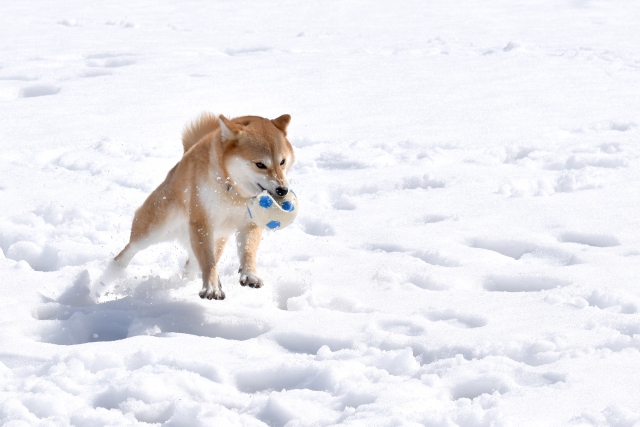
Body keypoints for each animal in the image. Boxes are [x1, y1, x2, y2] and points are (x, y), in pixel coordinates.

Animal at [114, 113, 294, 300]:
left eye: (282, 162)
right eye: (260, 164)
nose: (282, 190)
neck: (233, 192)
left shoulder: (250, 222)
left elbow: (248, 251)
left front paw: (250, 274)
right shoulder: (202, 223)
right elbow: (208, 262)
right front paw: (212, 288)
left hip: (215, 239)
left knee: (190, 265)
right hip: (154, 229)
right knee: (125, 254)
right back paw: (107, 278)